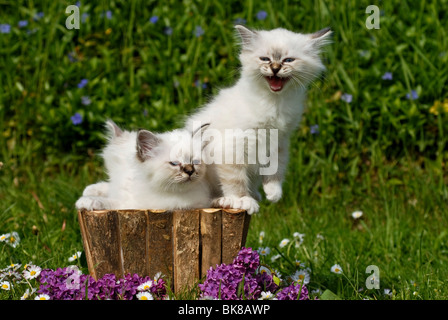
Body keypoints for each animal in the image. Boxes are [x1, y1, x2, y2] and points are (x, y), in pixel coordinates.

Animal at [75, 120, 212, 210]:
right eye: (174, 163)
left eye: (194, 162)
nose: (190, 171)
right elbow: (109, 188)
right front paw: (90, 190)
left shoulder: (138, 205)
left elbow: (114, 203)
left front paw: (86, 201)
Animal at [184, 25, 330, 215]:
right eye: (265, 59)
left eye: (288, 60)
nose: (275, 68)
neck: (274, 103)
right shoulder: (232, 145)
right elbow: (235, 179)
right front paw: (242, 201)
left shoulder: (279, 141)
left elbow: (277, 168)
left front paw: (273, 193)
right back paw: (226, 200)